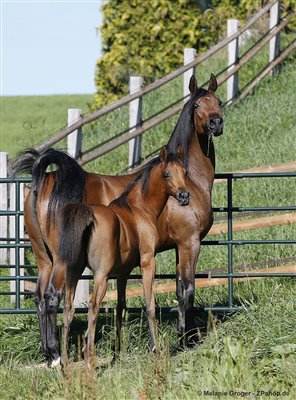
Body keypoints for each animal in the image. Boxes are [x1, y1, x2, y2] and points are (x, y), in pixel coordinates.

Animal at [59, 146, 188, 360]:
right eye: (166, 174)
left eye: (184, 172)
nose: (184, 196)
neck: (139, 210)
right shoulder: (147, 262)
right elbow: (150, 305)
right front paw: (155, 349)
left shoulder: (122, 273)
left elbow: (120, 306)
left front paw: (117, 352)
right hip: (100, 276)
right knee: (93, 305)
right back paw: (89, 355)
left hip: (73, 273)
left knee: (68, 308)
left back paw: (65, 360)